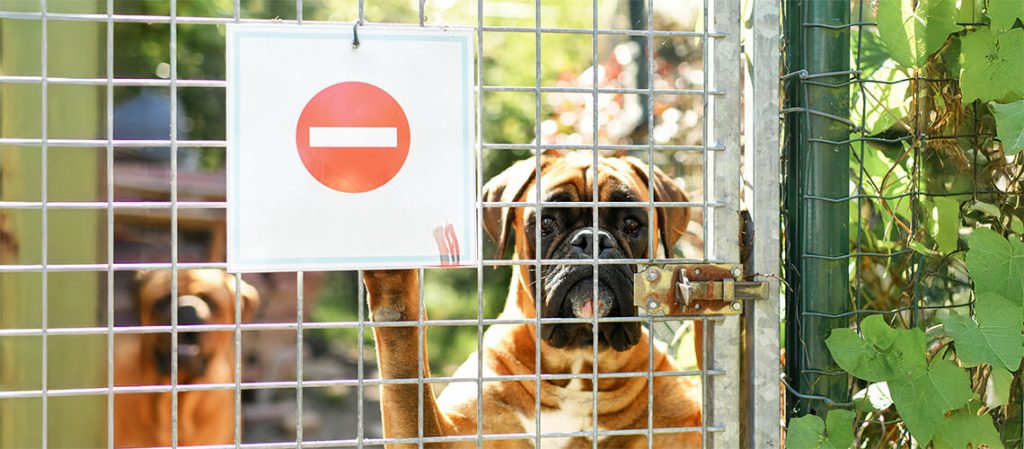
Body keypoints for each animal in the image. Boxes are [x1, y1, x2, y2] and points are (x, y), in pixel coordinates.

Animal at [366, 151, 704, 449]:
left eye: (632, 224)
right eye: (546, 223)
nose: (592, 239)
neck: (579, 362)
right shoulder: (445, 434)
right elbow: (406, 376)